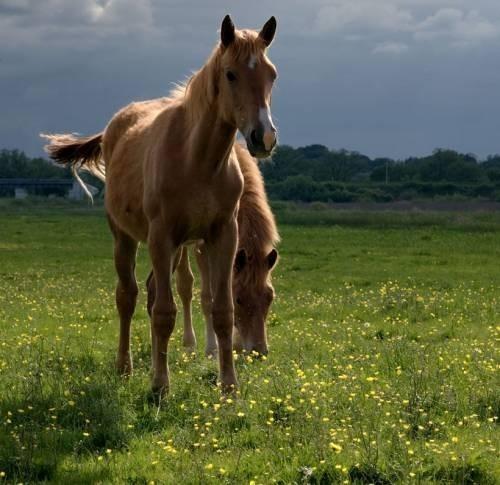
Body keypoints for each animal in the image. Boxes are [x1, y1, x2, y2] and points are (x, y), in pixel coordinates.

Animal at [146, 141, 282, 356]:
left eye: (269, 297)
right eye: (239, 299)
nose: (259, 351)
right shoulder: (204, 247)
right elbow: (208, 297)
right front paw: (213, 348)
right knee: (184, 286)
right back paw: (189, 342)